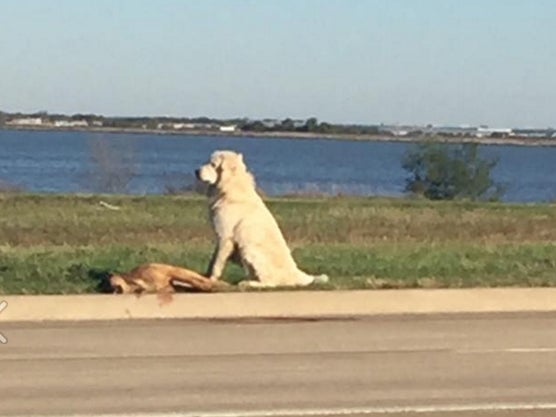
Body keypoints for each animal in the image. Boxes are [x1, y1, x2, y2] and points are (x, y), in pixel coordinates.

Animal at [194, 150, 328, 290]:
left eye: (213, 164)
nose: (196, 171)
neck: (231, 186)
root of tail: (298, 274)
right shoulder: (220, 239)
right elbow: (212, 260)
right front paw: (203, 277)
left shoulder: (225, 237)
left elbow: (217, 264)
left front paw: (211, 280)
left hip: (248, 249)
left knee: (269, 283)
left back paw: (248, 283)